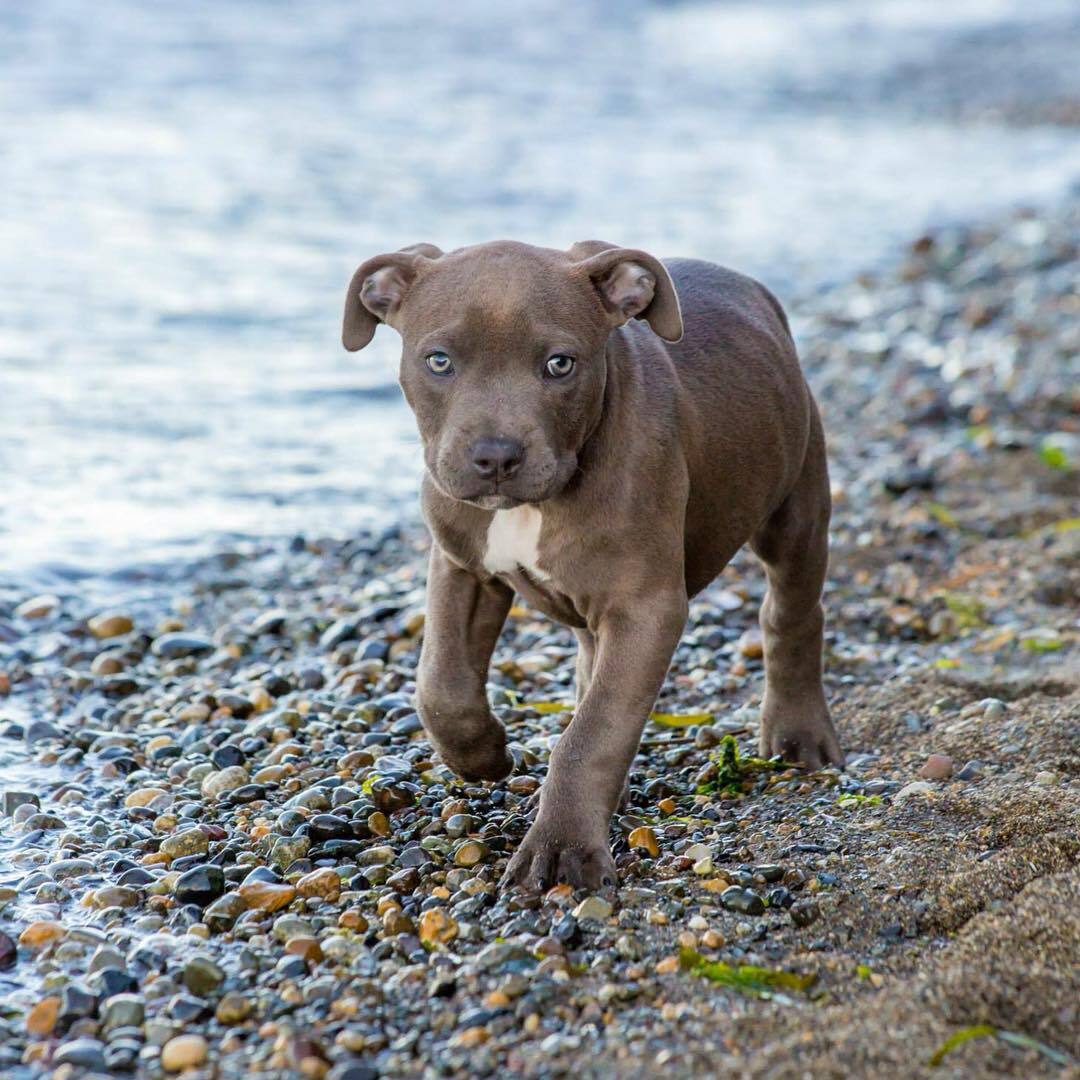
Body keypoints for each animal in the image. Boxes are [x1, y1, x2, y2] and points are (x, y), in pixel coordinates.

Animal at [343, 240, 842, 889]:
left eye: (561, 364)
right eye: (438, 361)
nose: (495, 457)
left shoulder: (645, 608)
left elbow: (594, 732)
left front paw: (562, 847)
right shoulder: (461, 566)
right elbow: (441, 685)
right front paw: (483, 755)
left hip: (796, 505)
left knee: (792, 612)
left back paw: (798, 733)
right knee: (587, 660)